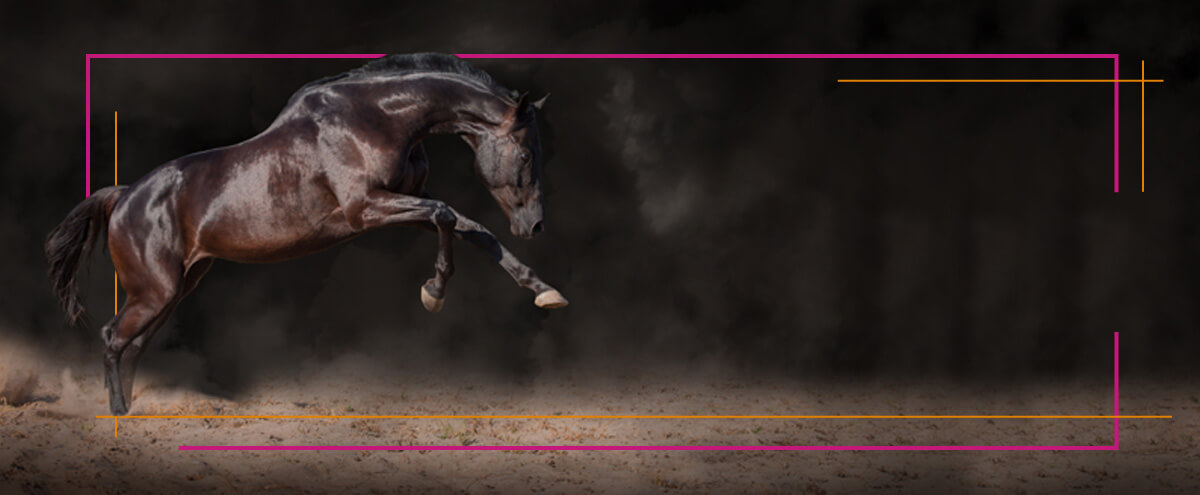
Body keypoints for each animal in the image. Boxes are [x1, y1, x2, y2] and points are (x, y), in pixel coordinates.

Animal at [45, 53, 568, 415]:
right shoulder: (364, 209)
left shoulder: (400, 203)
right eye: (526, 153)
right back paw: (117, 415)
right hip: (154, 291)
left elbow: (472, 229)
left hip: (177, 288)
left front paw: (544, 291)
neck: (377, 118)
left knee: (133, 346)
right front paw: (433, 293)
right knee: (113, 338)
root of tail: (125, 195)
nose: (535, 225)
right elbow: (445, 216)